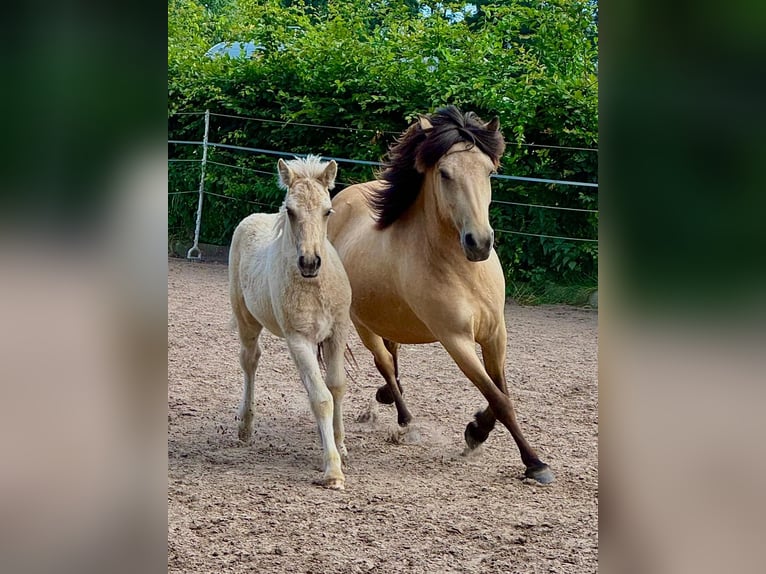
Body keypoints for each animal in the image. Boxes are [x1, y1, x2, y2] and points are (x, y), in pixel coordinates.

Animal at [231, 156, 354, 490]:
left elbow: (336, 386)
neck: (314, 287)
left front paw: (340, 444)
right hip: (246, 320)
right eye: (290, 210)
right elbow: (321, 398)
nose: (310, 262)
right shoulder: (299, 339)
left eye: (327, 211)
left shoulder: (337, 333)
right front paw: (333, 470)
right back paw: (245, 427)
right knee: (250, 361)